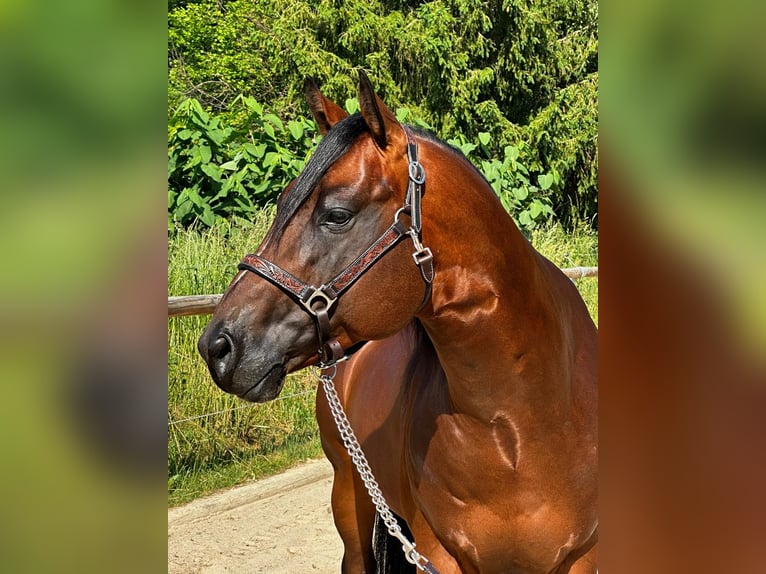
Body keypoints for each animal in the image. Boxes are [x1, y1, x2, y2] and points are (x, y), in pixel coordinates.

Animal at [198, 71, 598, 573]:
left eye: (337, 215)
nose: (217, 346)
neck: (519, 429)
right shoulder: (439, 553)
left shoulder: (582, 556)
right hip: (349, 498)